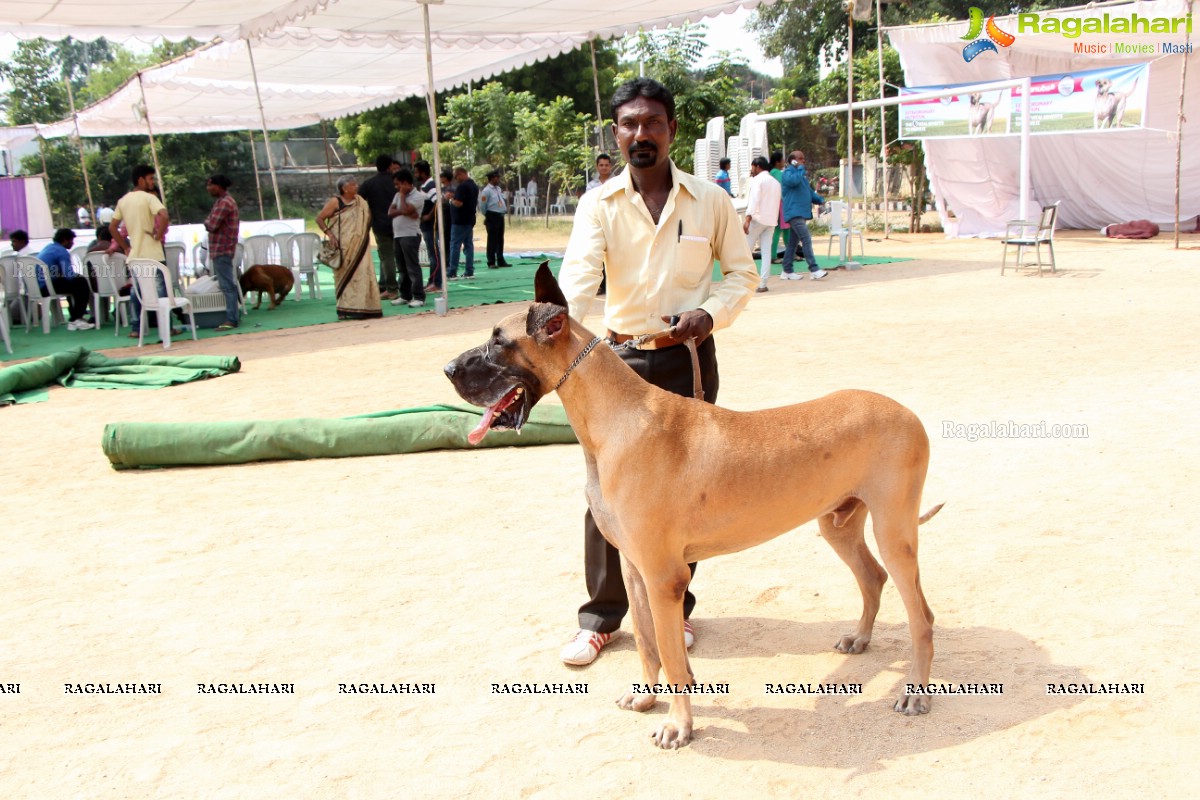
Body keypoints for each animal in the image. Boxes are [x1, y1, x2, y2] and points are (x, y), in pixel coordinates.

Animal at [446, 266, 940, 748]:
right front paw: (647, 697)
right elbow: (646, 643)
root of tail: (909, 413)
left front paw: (677, 725)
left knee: (922, 616)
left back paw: (915, 692)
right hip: (839, 523)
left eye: (499, 341)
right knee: (872, 578)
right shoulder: (634, 568)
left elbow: (671, 654)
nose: (448, 368)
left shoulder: (664, 577)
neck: (614, 419)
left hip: (895, 531)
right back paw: (860, 637)